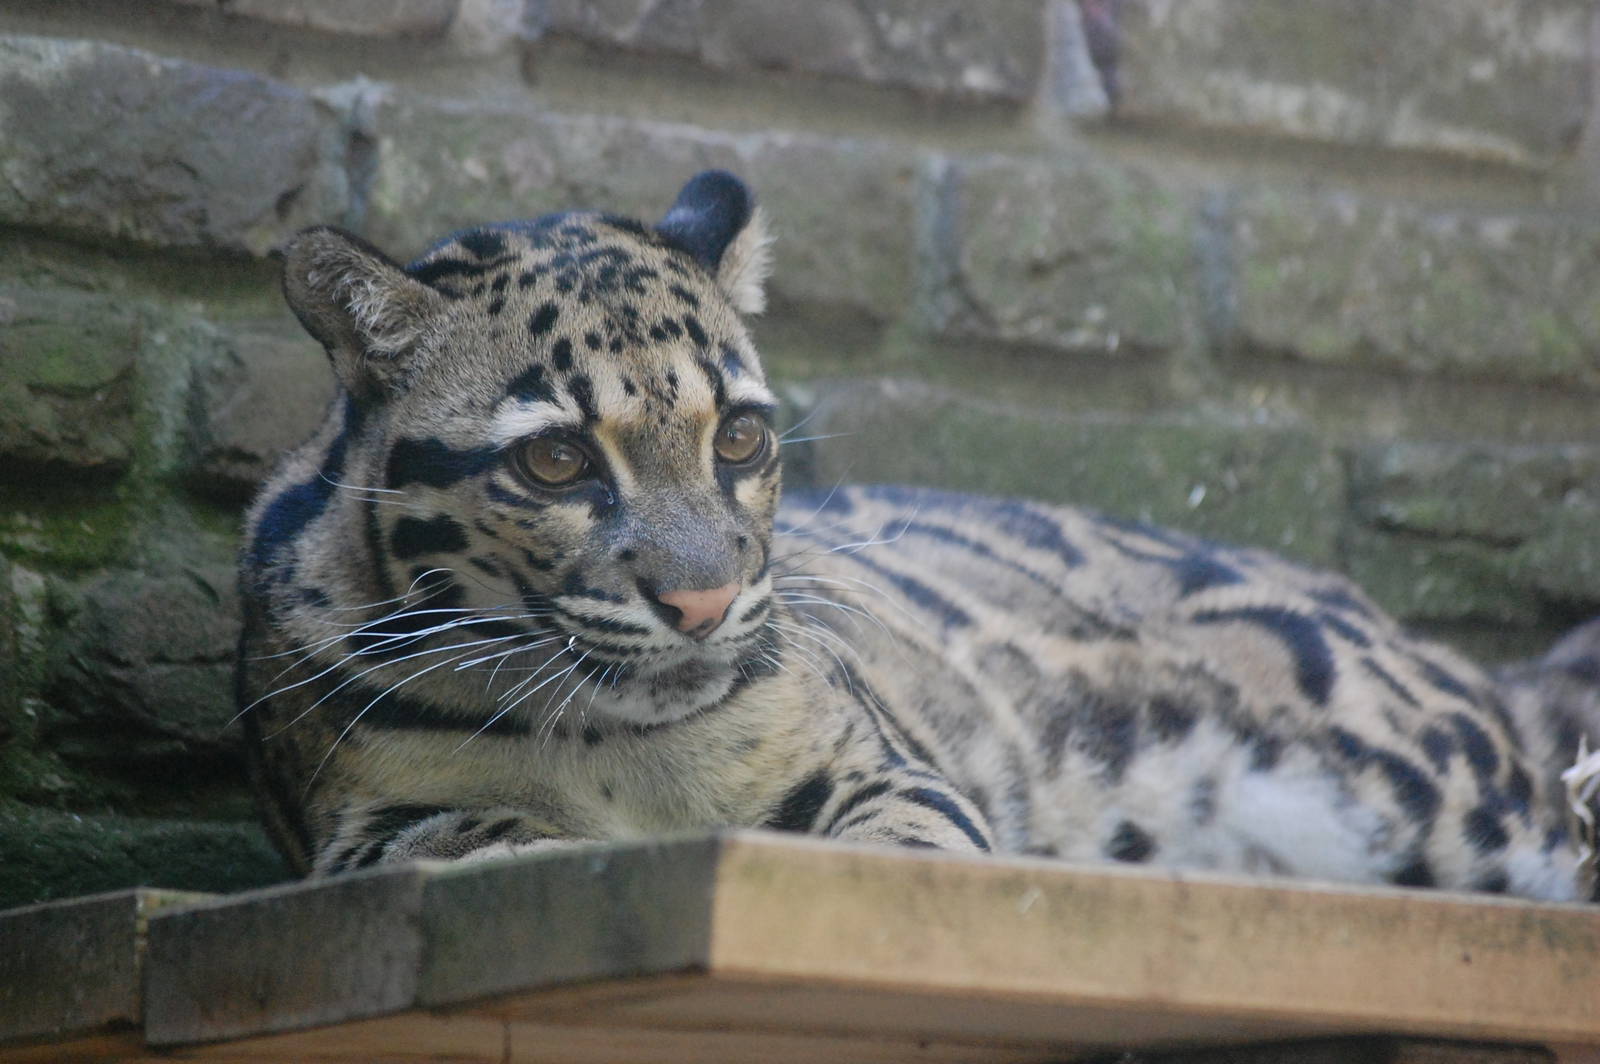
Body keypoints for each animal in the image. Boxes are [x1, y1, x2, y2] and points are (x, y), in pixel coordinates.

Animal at [239, 169, 1600, 902]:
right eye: (556, 459)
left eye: (741, 438)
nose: (702, 601)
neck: (615, 742)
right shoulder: (354, 826)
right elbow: (464, 831)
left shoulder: (880, 759)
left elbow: (905, 837)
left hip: (1427, 779)